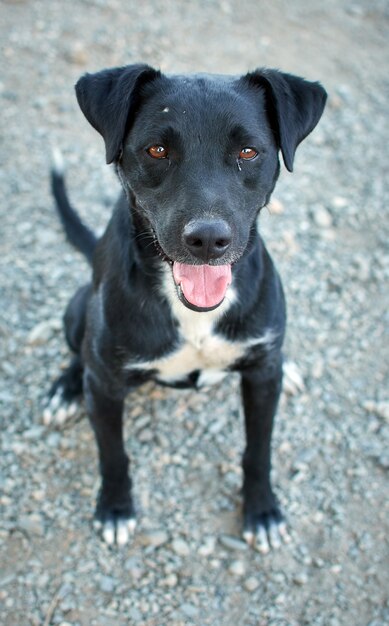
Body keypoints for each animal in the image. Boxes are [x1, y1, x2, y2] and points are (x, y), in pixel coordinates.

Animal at [44, 63, 326, 548]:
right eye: (157, 150)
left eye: (249, 151)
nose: (208, 240)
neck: (195, 314)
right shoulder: (106, 389)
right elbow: (113, 454)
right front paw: (115, 508)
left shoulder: (261, 385)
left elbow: (258, 450)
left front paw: (262, 510)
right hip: (77, 309)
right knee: (79, 352)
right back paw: (66, 389)